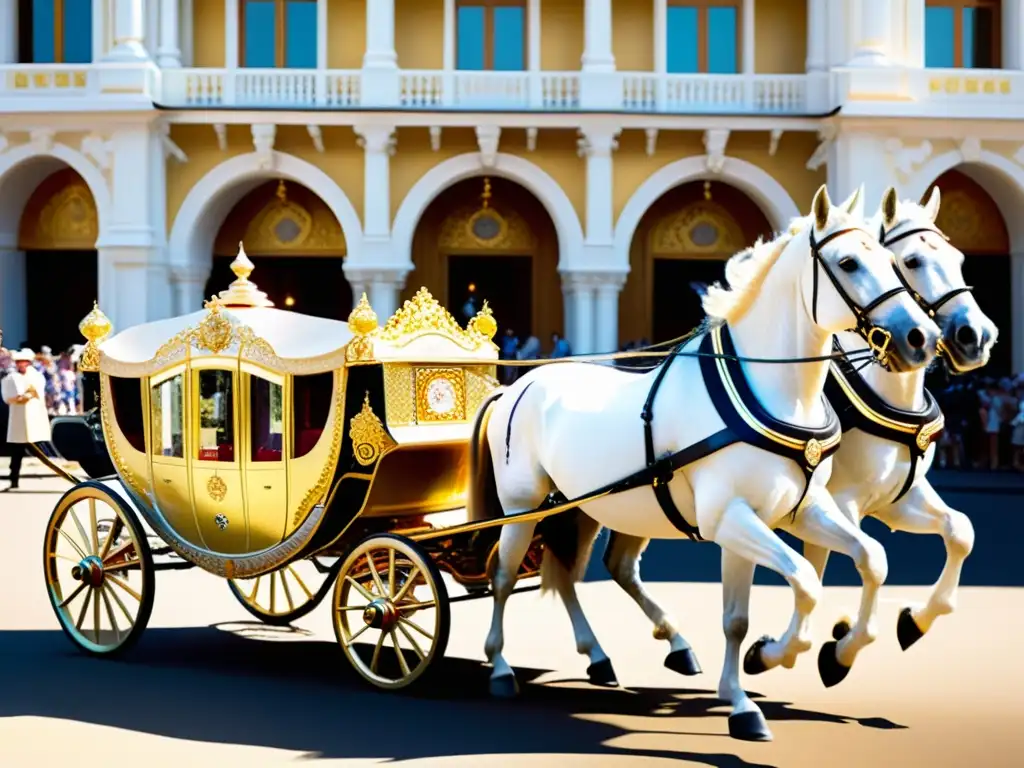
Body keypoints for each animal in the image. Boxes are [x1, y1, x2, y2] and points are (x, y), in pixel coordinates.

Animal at [468, 183, 937, 741]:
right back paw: (499, 668)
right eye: (848, 262)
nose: (921, 338)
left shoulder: (798, 511)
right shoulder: (730, 517)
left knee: (569, 575)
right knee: (503, 575)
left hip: (580, 508)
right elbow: (804, 580)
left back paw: (612, 654)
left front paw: (814, 661)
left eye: (892, 261)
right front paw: (772, 658)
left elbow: (864, 562)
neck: (775, 392)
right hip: (524, 506)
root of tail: (518, 383)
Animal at [802, 183, 995, 675]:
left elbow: (961, 531)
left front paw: (915, 620)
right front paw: (842, 646)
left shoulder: (896, 499)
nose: (977, 336)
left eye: (959, 259)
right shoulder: (839, 504)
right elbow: (846, 564)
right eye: (909, 261)